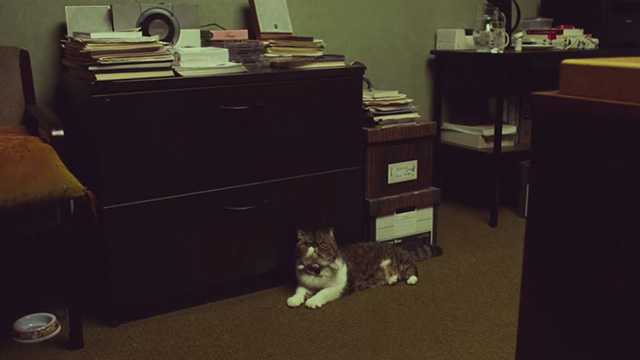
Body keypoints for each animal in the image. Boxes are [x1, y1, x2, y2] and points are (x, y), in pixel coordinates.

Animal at [288, 229, 442, 308]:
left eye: (323, 244)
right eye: (307, 244)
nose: (314, 246)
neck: (316, 269)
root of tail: (400, 248)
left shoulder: (341, 286)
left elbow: (323, 292)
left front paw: (313, 301)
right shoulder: (305, 283)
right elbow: (300, 290)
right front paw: (295, 299)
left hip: (401, 262)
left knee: (412, 267)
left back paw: (411, 279)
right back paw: (392, 279)